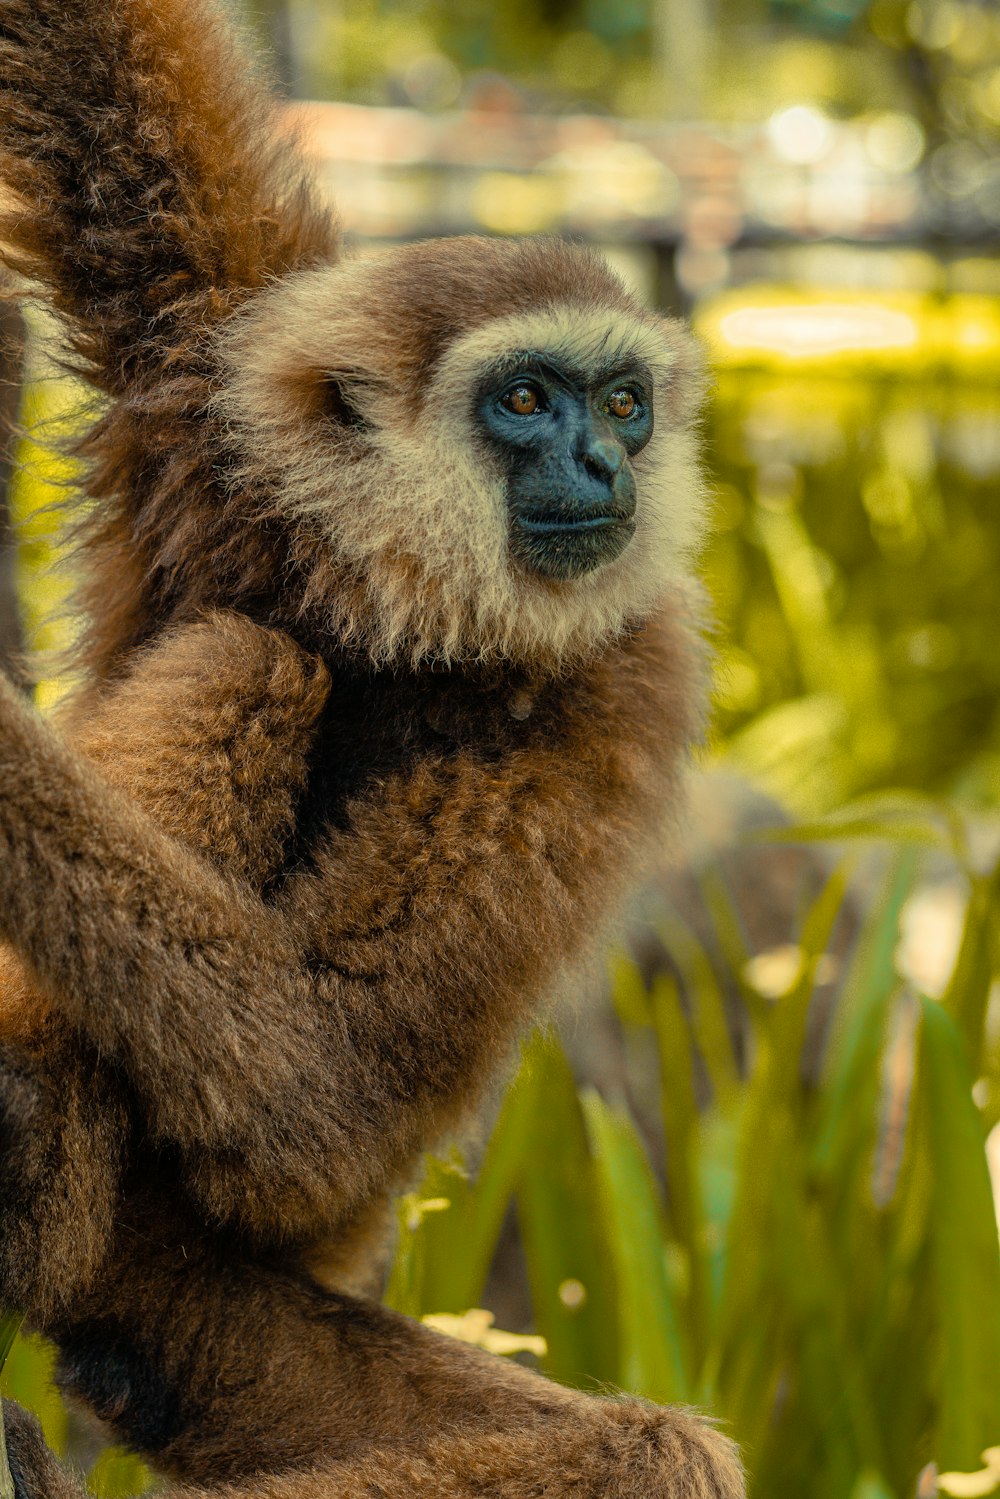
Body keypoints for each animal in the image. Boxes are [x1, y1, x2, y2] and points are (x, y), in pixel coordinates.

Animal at [0, 0, 743, 1493]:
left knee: (656, 1453)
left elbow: (327, 1096)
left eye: (622, 403)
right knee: (248, 657)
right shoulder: (211, 378)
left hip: (201, 1293)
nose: (605, 465)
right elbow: (95, 71)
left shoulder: (625, 680)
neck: (410, 604)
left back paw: (30, 1176)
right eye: (527, 400)